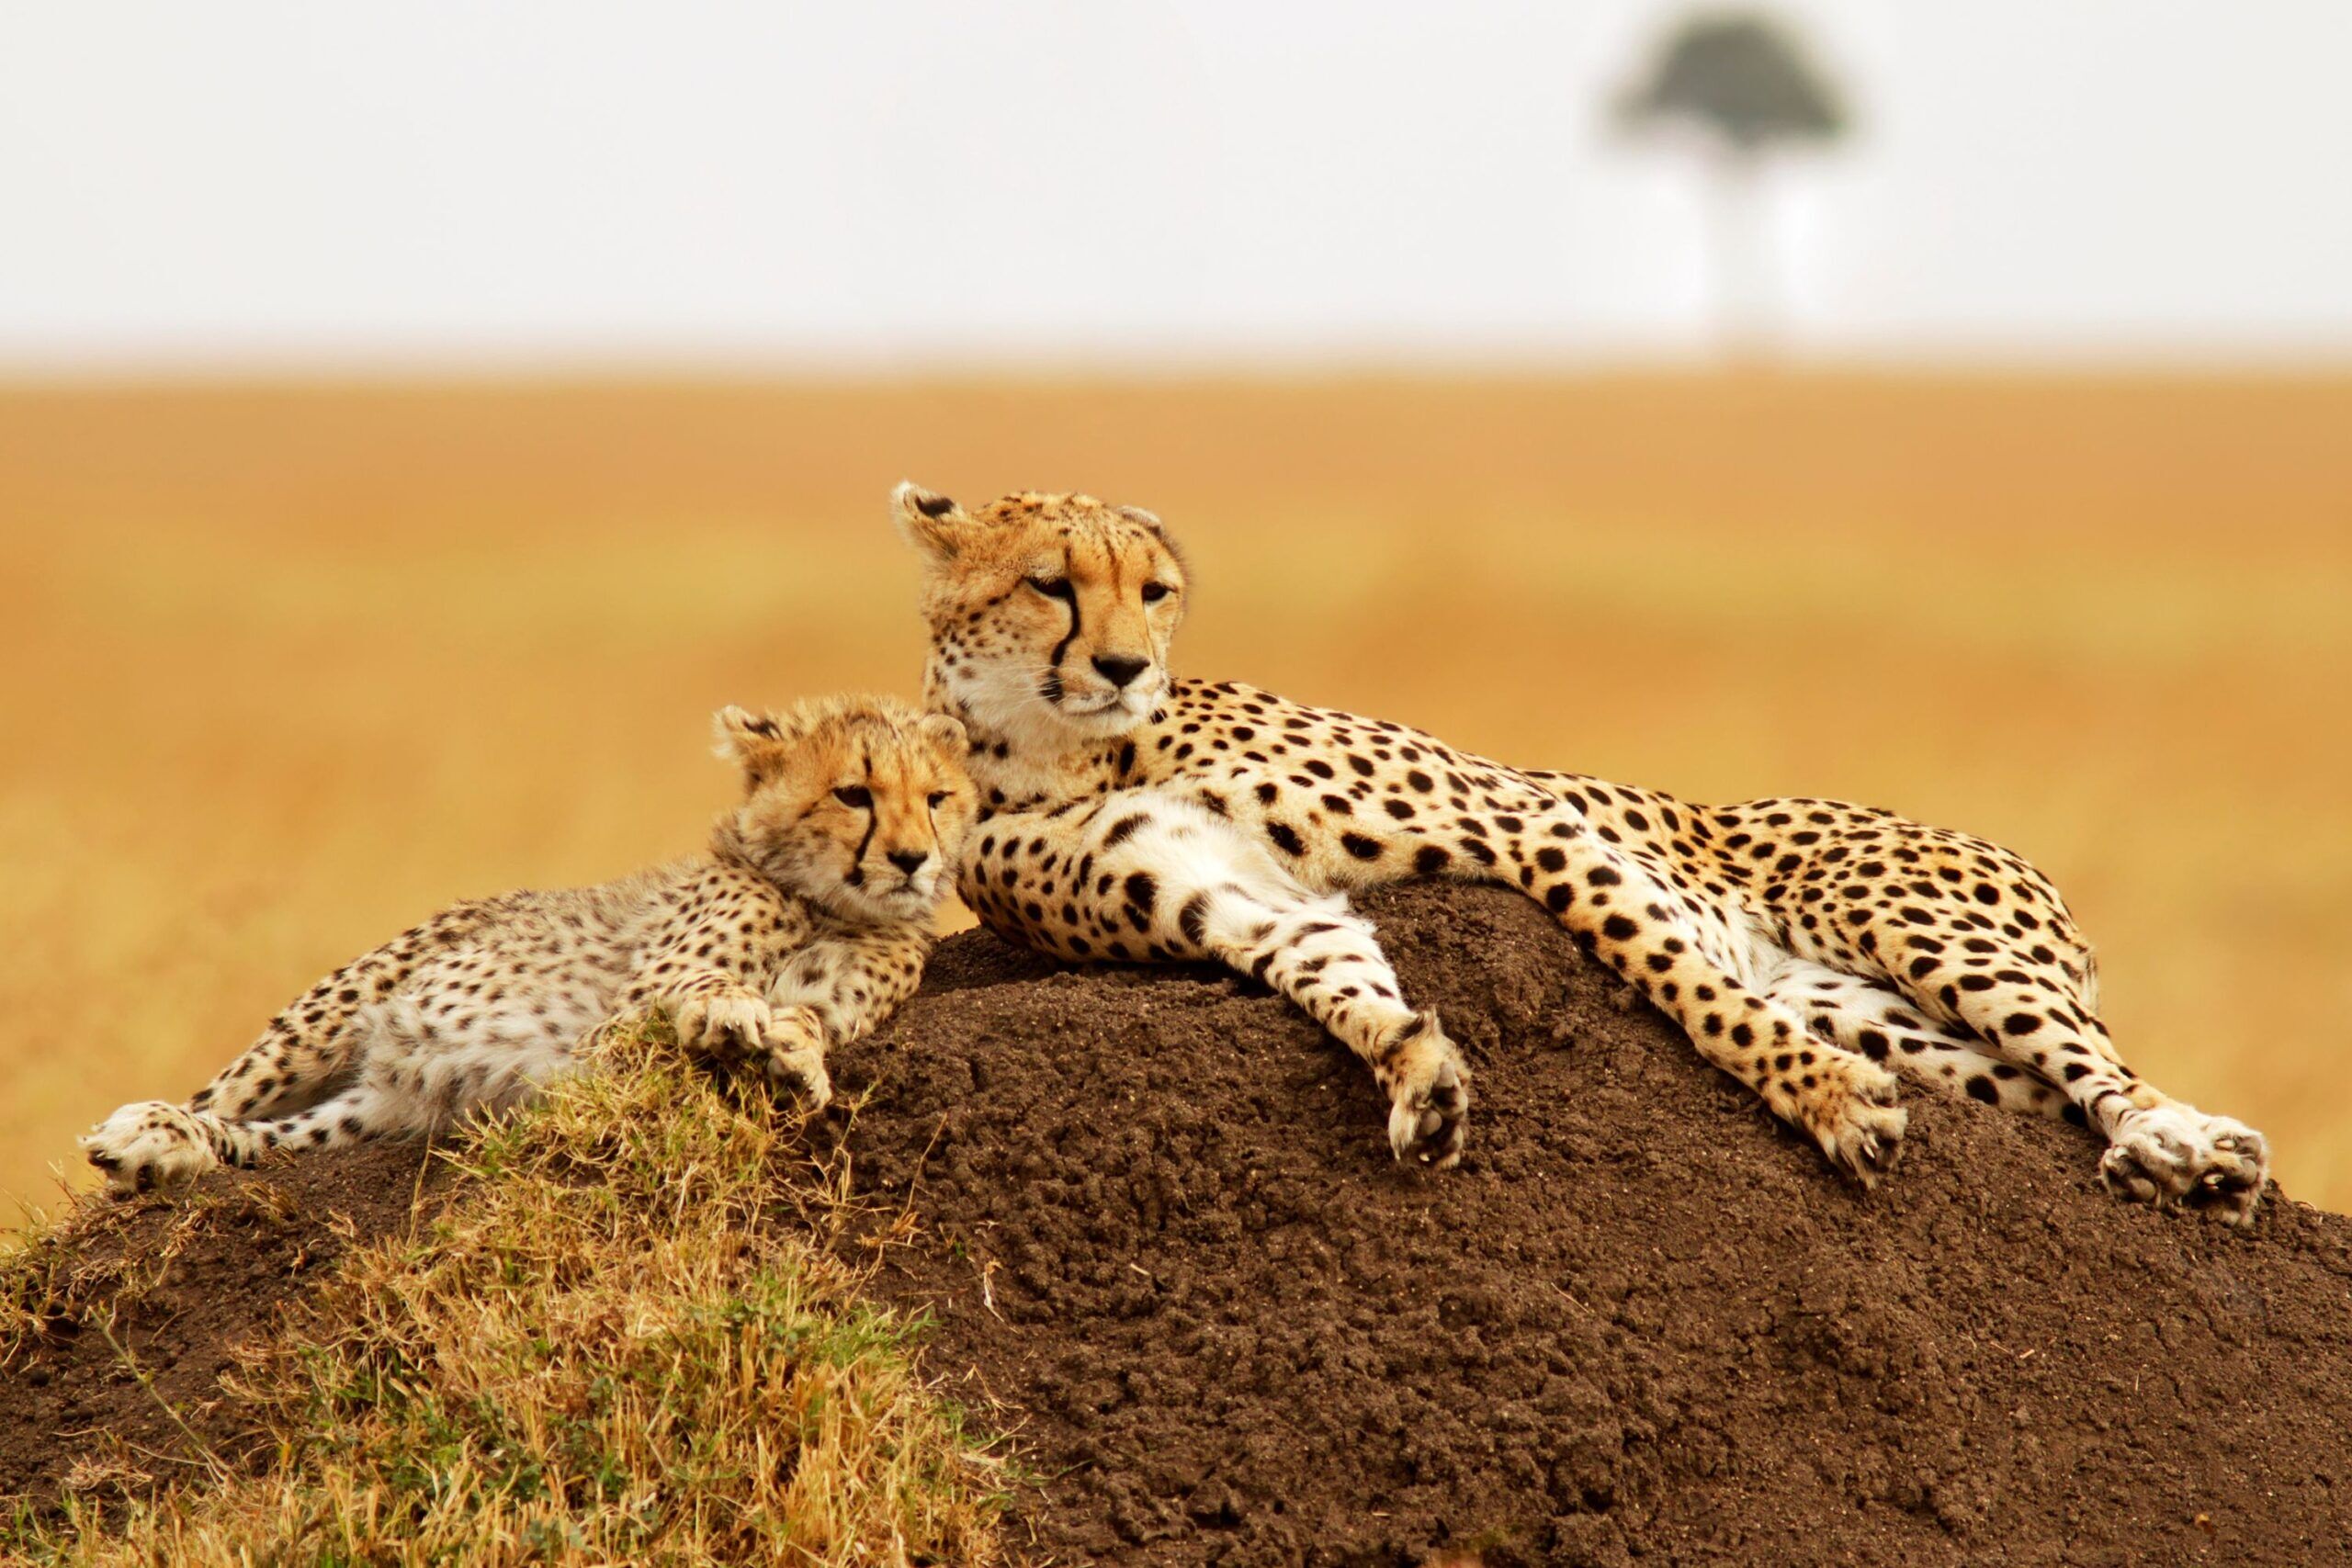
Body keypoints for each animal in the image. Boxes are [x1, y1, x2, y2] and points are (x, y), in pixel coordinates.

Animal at [81, 694, 975, 1194]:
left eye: (936, 798)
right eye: (853, 793)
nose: (912, 859)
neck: (822, 901)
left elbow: (812, 1019)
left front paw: (792, 1054)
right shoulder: (607, 1037)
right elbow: (688, 1001)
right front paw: (727, 1012)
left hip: (376, 1111)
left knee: (262, 1143)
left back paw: (165, 1152)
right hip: (330, 1018)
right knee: (216, 1101)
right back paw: (149, 1131)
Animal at [889, 481, 2272, 1224]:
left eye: (1154, 589)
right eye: (1049, 584)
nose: (1128, 665)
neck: (1062, 749)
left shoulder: (1526, 824)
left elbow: (1685, 984)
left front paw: (1820, 1099)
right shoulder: (1248, 903)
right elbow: (1343, 982)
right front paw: (1423, 1078)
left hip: (1927, 931)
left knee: (2107, 1064)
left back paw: (2180, 1146)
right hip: (1908, 1028)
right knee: (2031, 1089)